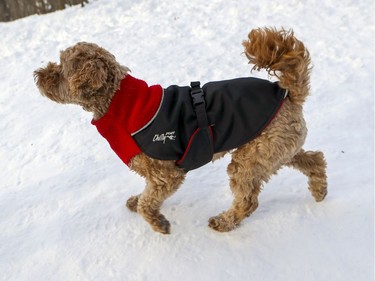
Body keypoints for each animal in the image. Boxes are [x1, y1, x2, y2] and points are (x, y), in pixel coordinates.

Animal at [35, 27, 328, 234]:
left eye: (61, 69)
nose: (38, 74)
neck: (117, 102)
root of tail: (288, 93)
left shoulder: (167, 174)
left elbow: (148, 203)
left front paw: (159, 223)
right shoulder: (154, 175)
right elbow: (145, 195)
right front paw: (137, 202)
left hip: (252, 157)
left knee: (248, 200)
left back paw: (224, 222)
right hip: (275, 149)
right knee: (315, 158)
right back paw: (319, 190)